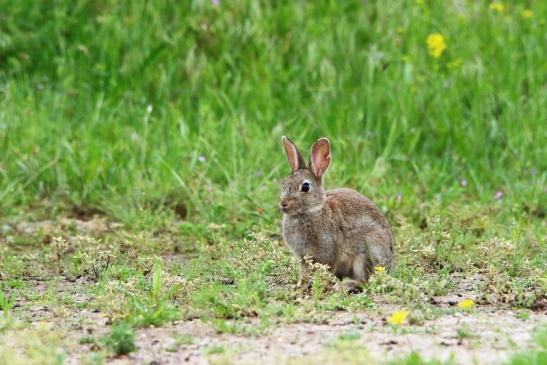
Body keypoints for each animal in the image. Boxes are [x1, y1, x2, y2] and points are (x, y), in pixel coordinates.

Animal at [280, 135, 396, 292]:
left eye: (305, 187)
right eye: (284, 183)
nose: (283, 204)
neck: (310, 211)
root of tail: (388, 267)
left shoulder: (327, 252)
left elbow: (325, 270)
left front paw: (319, 285)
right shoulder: (302, 257)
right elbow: (304, 272)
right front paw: (300, 286)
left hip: (366, 255)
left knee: (366, 280)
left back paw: (346, 285)